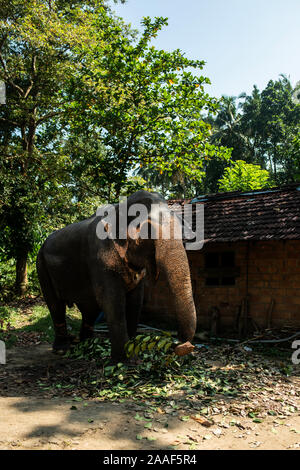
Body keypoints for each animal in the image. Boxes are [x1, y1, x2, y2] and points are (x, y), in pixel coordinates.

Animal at [37, 189, 197, 362]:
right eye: (147, 231)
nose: (183, 345)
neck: (120, 207)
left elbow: (135, 301)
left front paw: (133, 353)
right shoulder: (100, 257)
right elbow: (112, 300)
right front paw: (122, 361)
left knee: (89, 309)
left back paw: (86, 344)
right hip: (41, 266)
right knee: (56, 305)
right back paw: (61, 350)